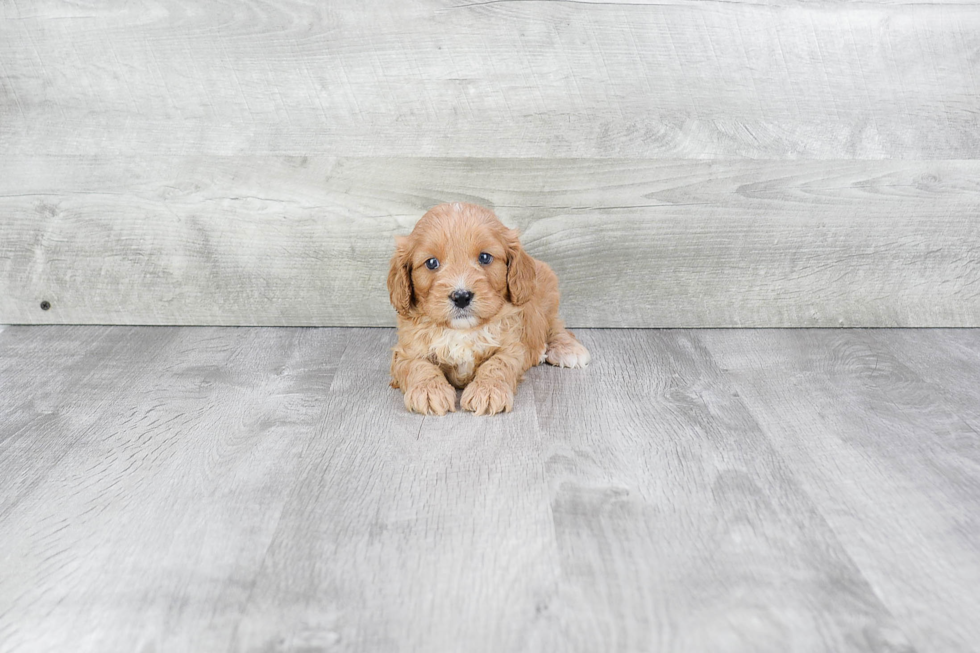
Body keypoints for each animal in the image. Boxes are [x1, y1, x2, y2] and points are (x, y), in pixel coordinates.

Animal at [388, 201, 588, 416]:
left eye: (485, 257)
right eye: (431, 263)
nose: (461, 296)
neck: (462, 330)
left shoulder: (512, 348)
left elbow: (497, 364)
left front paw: (488, 390)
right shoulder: (405, 351)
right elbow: (418, 365)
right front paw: (428, 389)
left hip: (547, 297)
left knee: (555, 326)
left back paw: (568, 349)